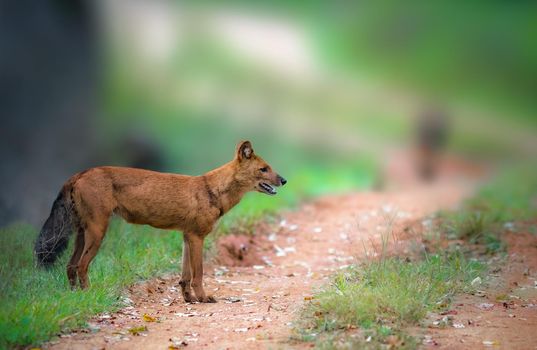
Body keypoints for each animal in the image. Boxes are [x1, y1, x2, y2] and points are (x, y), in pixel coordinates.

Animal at [34, 141, 286, 302]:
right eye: (264, 169)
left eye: (270, 168)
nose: (284, 180)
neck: (213, 191)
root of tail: (79, 173)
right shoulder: (197, 237)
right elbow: (198, 274)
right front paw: (204, 298)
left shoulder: (186, 236)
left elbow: (185, 276)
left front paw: (189, 299)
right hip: (97, 231)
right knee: (81, 265)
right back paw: (89, 295)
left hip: (81, 233)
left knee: (70, 265)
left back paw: (74, 297)